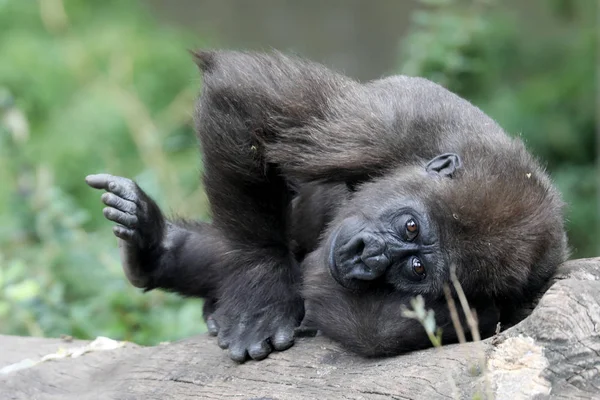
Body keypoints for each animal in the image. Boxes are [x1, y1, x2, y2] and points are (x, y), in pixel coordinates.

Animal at [84, 50, 568, 362]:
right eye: (410, 226)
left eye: (416, 269)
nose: (368, 256)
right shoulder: (392, 123)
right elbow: (242, 94)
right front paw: (260, 294)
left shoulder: (536, 285)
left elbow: (373, 329)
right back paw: (156, 246)